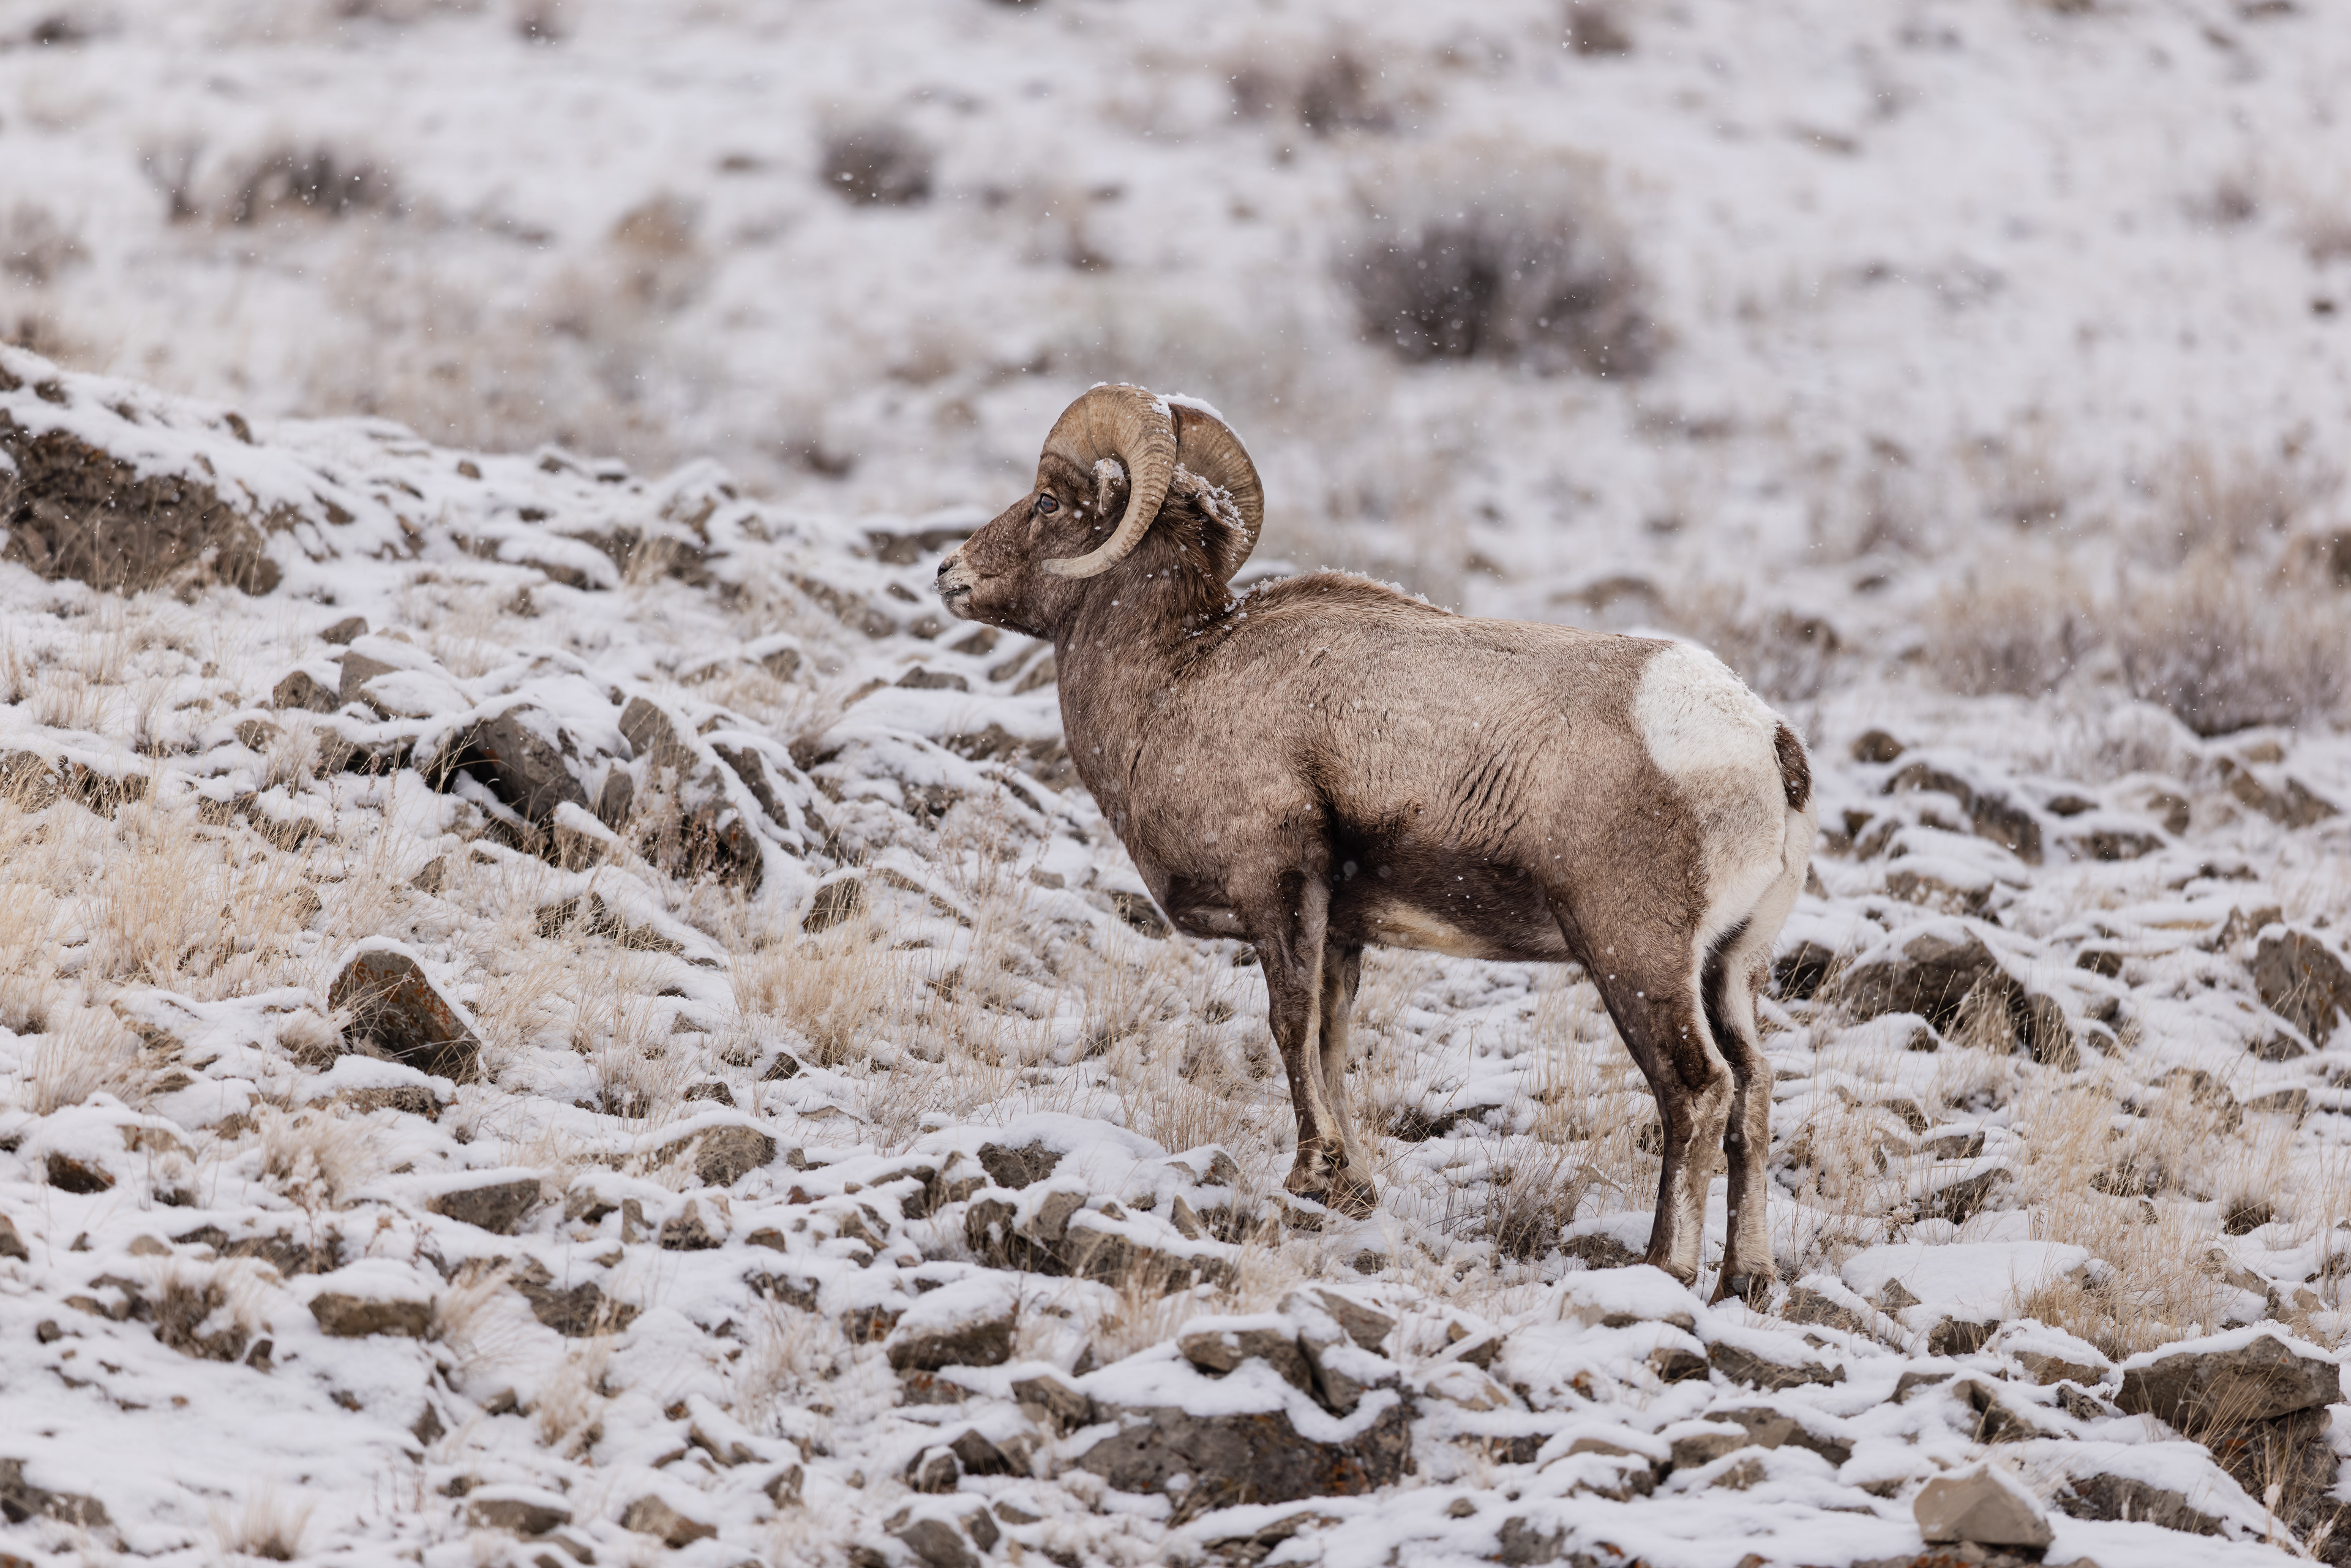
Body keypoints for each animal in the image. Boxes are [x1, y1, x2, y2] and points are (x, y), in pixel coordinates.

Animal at [935, 384, 1817, 1299]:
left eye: (1046, 503)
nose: (949, 574)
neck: (1175, 680)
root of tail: (1765, 742)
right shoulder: (1343, 931)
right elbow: (1330, 1039)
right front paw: (1350, 1185)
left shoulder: (1278, 889)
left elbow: (1289, 1025)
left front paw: (1310, 1174)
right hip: (1730, 968)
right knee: (1754, 1090)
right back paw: (1745, 1277)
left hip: (1636, 958)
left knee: (1698, 1091)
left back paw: (1662, 1267)